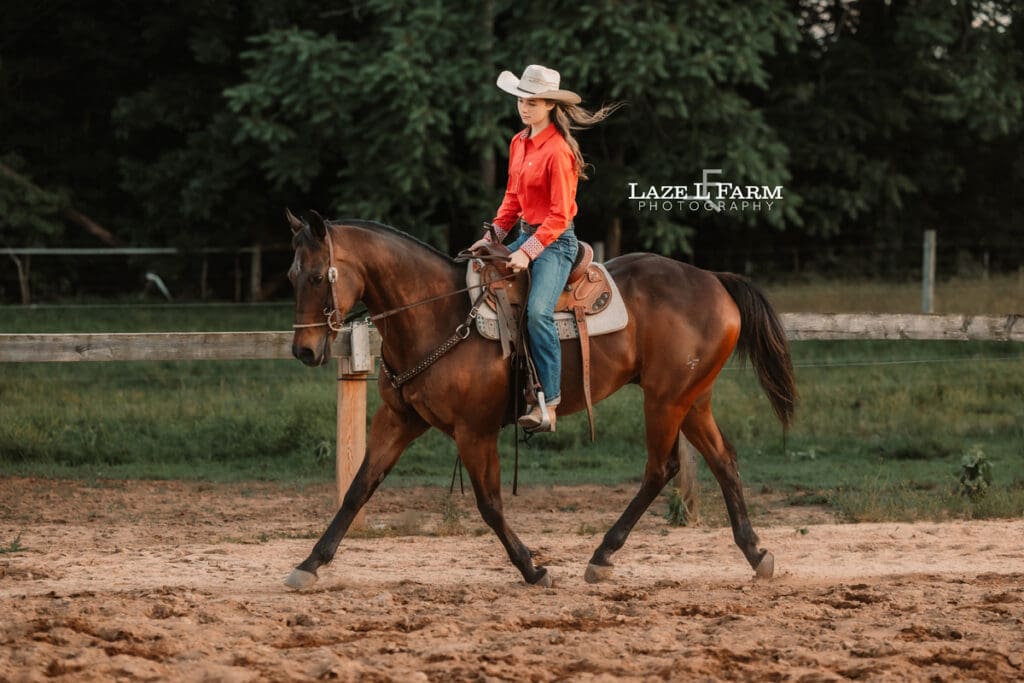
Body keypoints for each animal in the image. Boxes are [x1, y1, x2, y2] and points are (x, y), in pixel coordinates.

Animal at [284, 210, 797, 589]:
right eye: (292, 274)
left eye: (318, 277)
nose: (304, 351)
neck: (438, 312)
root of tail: (713, 279)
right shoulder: (398, 419)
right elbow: (359, 487)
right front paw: (310, 563)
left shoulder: (475, 432)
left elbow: (490, 504)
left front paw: (532, 568)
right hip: (692, 399)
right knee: (723, 460)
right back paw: (756, 553)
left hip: (666, 400)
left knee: (661, 468)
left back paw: (603, 554)